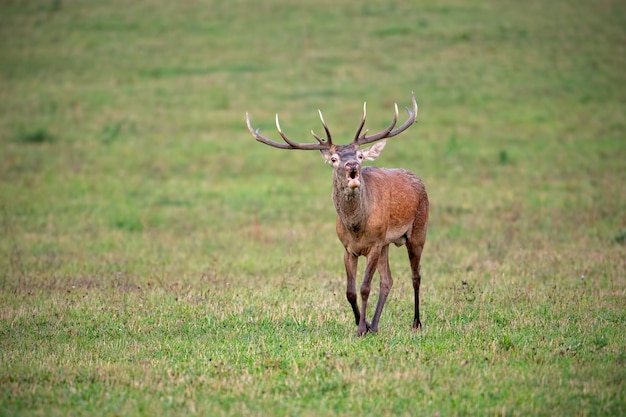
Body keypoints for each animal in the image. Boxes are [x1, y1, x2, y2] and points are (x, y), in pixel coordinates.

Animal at [246, 92, 426, 336]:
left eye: (360, 155)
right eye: (334, 159)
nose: (352, 165)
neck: (356, 227)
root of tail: (418, 179)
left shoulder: (375, 244)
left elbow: (364, 287)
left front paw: (361, 330)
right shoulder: (348, 248)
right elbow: (350, 291)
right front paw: (364, 324)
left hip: (418, 230)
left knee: (415, 276)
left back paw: (416, 322)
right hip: (387, 243)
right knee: (388, 280)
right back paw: (376, 325)